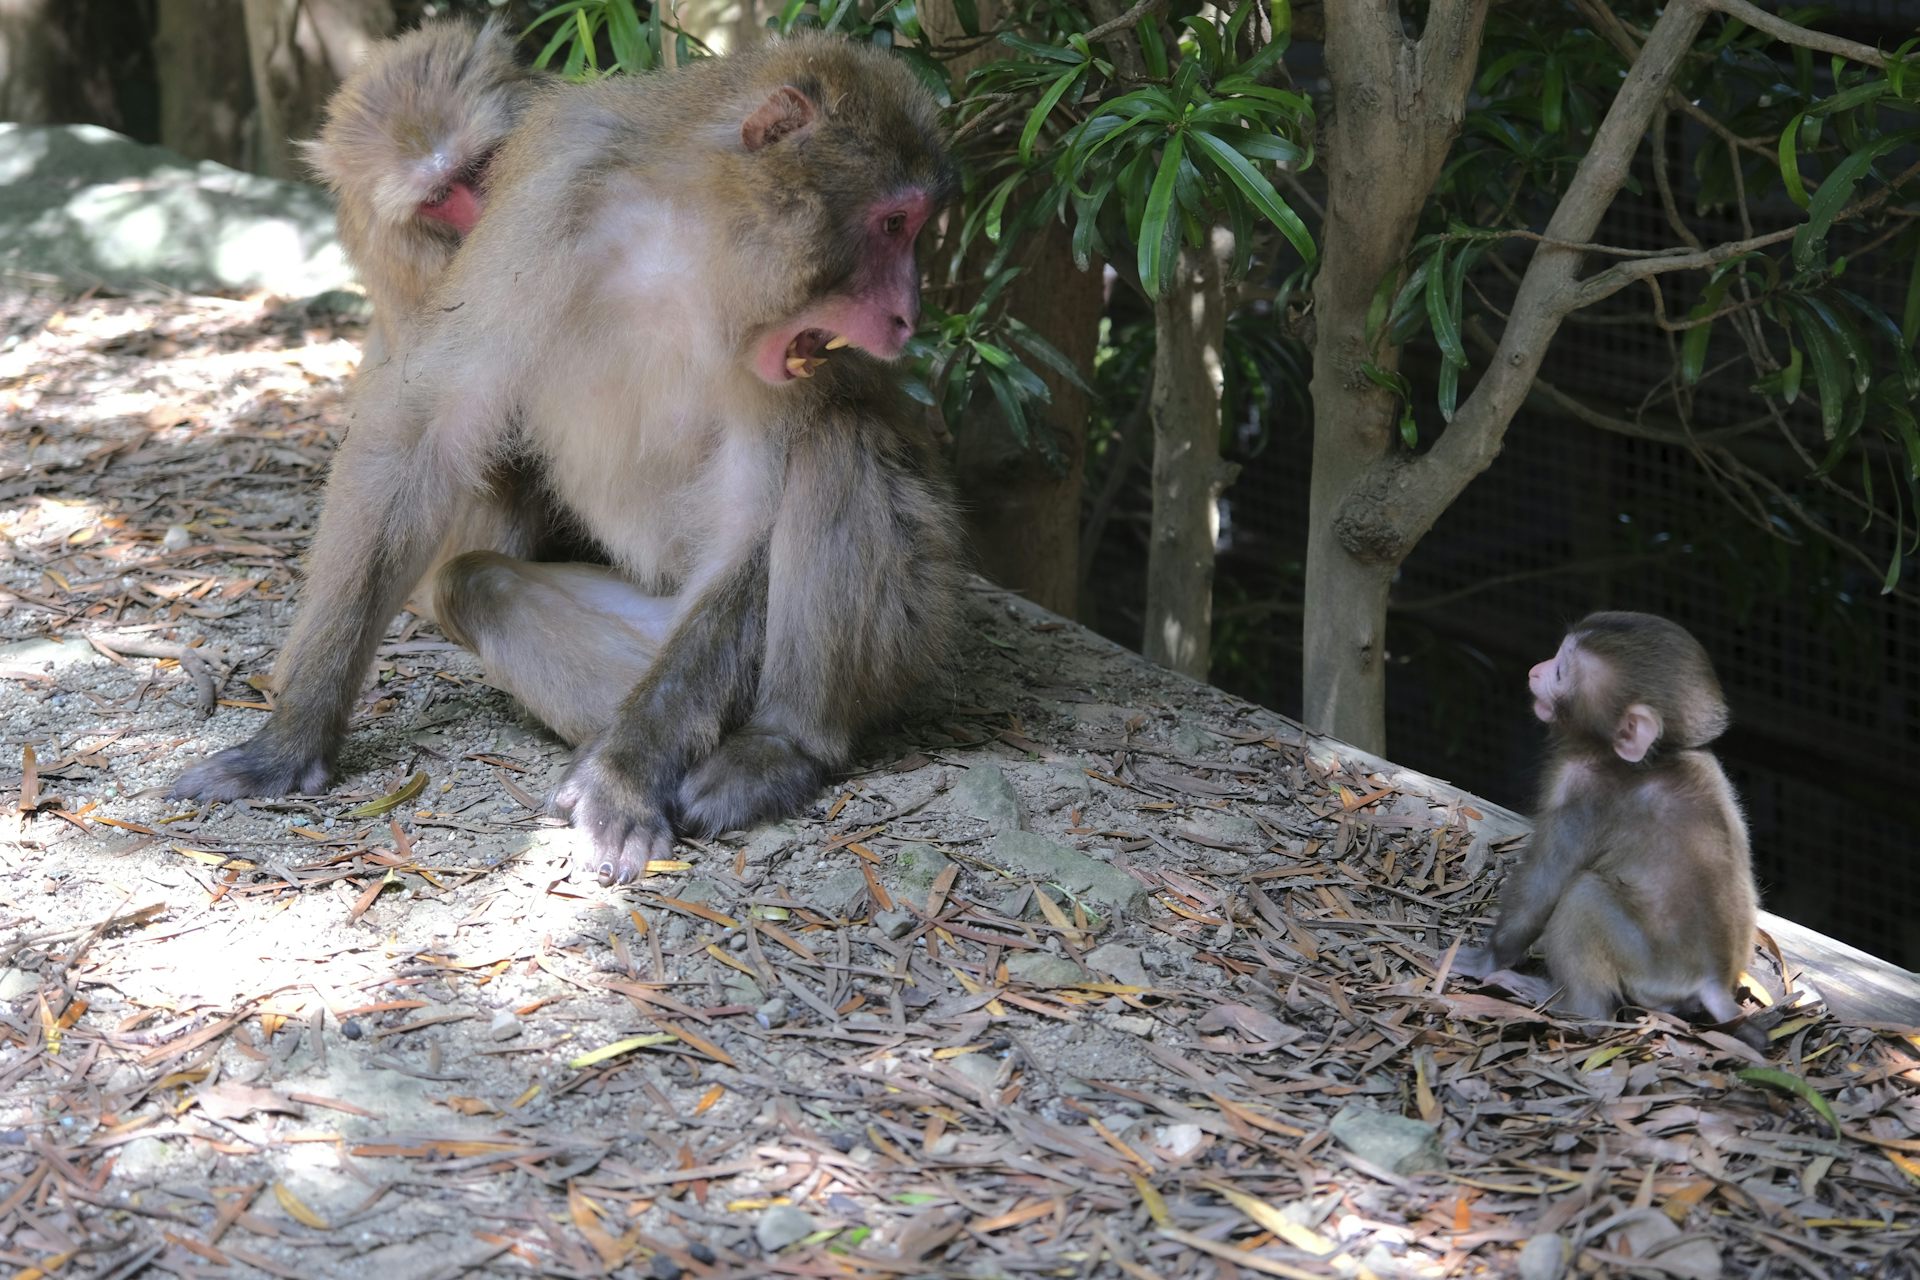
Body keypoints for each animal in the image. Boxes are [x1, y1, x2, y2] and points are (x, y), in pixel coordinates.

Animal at [174, 34, 965, 893]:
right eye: (892, 223)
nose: (908, 316)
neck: (692, 233)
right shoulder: (552, 204)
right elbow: (430, 429)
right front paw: (295, 735)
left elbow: (754, 516)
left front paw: (623, 777)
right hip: (650, 619)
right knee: (476, 586)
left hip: (910, 624)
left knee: (836, 447)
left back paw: (776, 746)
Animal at [1451, 612, 1766, 1051]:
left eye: (1561, 671)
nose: (1535, 671)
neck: (1653, 759)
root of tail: (1714, 981)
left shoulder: (1583, 791)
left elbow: (1542, 888)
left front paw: (1487, 958)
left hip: (1648, 966)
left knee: (1583, 897)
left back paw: (1576, 1009)